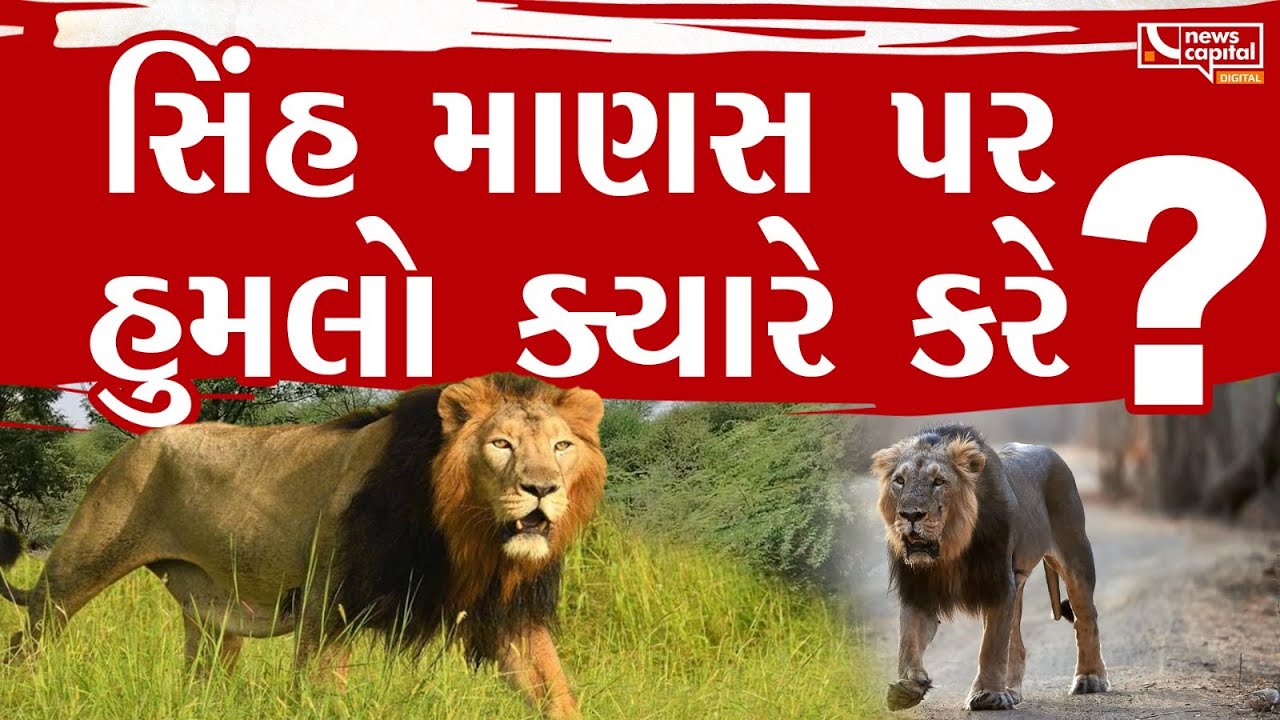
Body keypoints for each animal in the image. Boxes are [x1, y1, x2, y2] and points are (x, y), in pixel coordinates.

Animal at [0, 372, 605, 719]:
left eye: (561, 446)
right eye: (501, 445)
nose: (542, 489)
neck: (462, 533)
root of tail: (134, 443)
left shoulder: (508, 615)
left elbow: (555, 693)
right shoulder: (326, 607)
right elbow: (321, 692)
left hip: (212, 615)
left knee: (199, 675)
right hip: (75, 569)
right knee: (27, 640)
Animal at [871, 425, 1108, 712]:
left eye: (939, 481)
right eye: (899, 481)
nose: (910, 515)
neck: (951, 550)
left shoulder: (998, 584)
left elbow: (991, 647)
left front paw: (987, 695)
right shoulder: (917, 589)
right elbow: (908, 640)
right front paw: (908, 686)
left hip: (1075, 554)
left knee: (1086, 617)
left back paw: (1090, 678)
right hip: (1018, 580)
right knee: (1017, 642)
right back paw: (1011, 690)